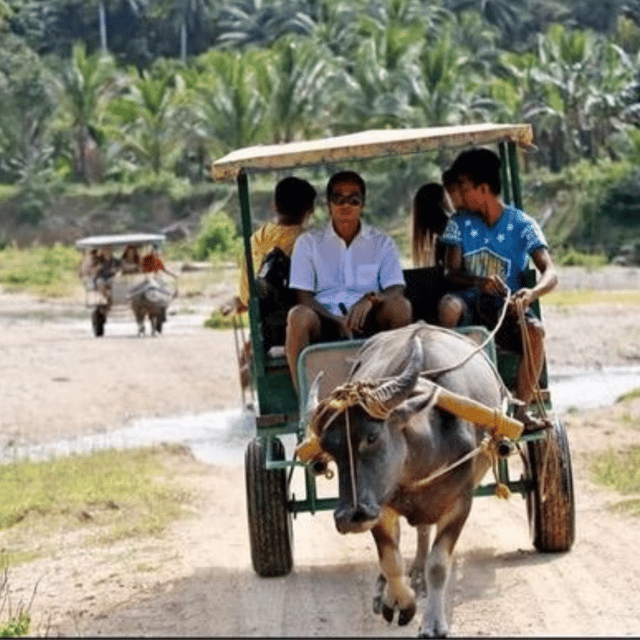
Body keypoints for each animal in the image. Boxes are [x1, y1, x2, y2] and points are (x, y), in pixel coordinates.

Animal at [302, 322, 512, 636]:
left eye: (372, 436)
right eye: (329, 447)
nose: (349, 517)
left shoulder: (460, 502)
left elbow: (438, 564)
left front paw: (433, 621)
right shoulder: (380, 506)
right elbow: (391, 559)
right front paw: (399, 601)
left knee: (424, 532)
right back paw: (385, 590)